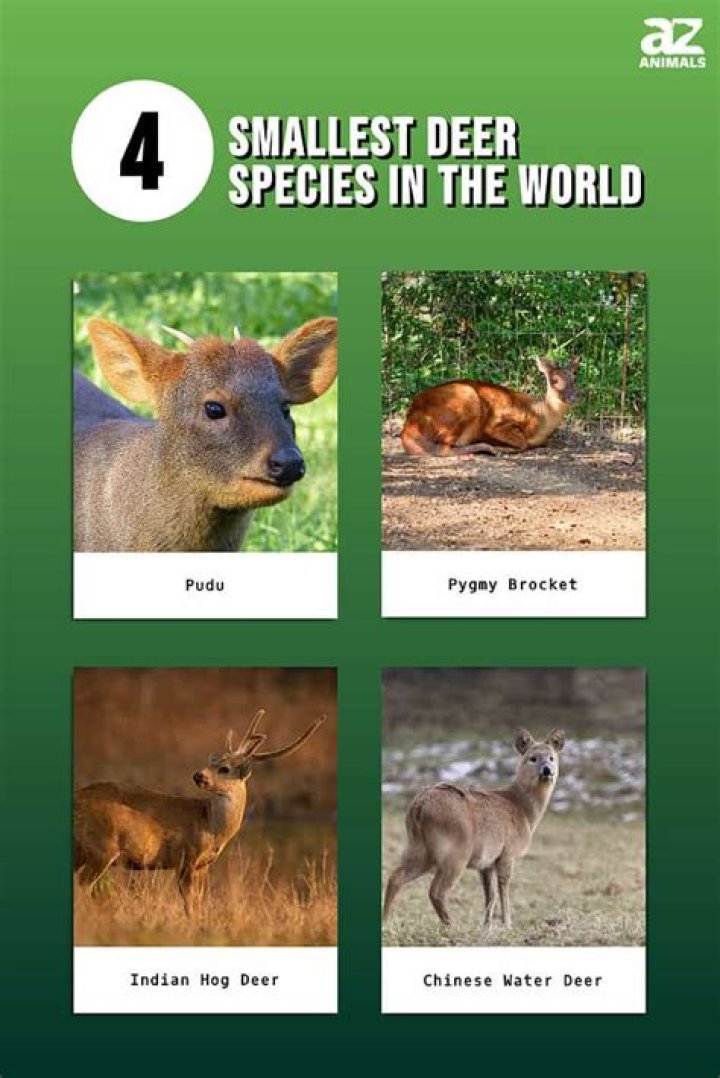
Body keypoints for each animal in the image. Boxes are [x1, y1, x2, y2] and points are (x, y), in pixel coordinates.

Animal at [73, 709, 325, 916]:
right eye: (212, 762)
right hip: (102, 846)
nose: (198, 775)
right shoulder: (187, 855)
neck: (211, 826)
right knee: (82, 887)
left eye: (224, 768)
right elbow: (189, 905)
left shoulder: (203, 865)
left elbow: (199, 903)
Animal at [383, 728, 566, 930]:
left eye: (551, 757)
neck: (523, 810)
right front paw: (507, 925)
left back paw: (386, 923)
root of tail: (419, 805)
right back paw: (452, 925)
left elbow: (490, 895)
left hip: (418, 848)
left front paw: (487, 926)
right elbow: (503, 889)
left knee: (395, 877)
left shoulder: (486, 862)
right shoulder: (507, 853)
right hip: (455, 852)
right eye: (532, 758)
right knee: (436, 891)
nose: (547, 770)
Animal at [400, 356, 580, 457]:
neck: (539, 418)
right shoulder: (496, 422)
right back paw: (488, 448)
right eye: (554, 380)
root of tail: (408, 427)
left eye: (574, 378)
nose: (574, 397)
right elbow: (523, 443)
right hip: (467, 398)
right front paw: (503, 448)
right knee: (442, 449)